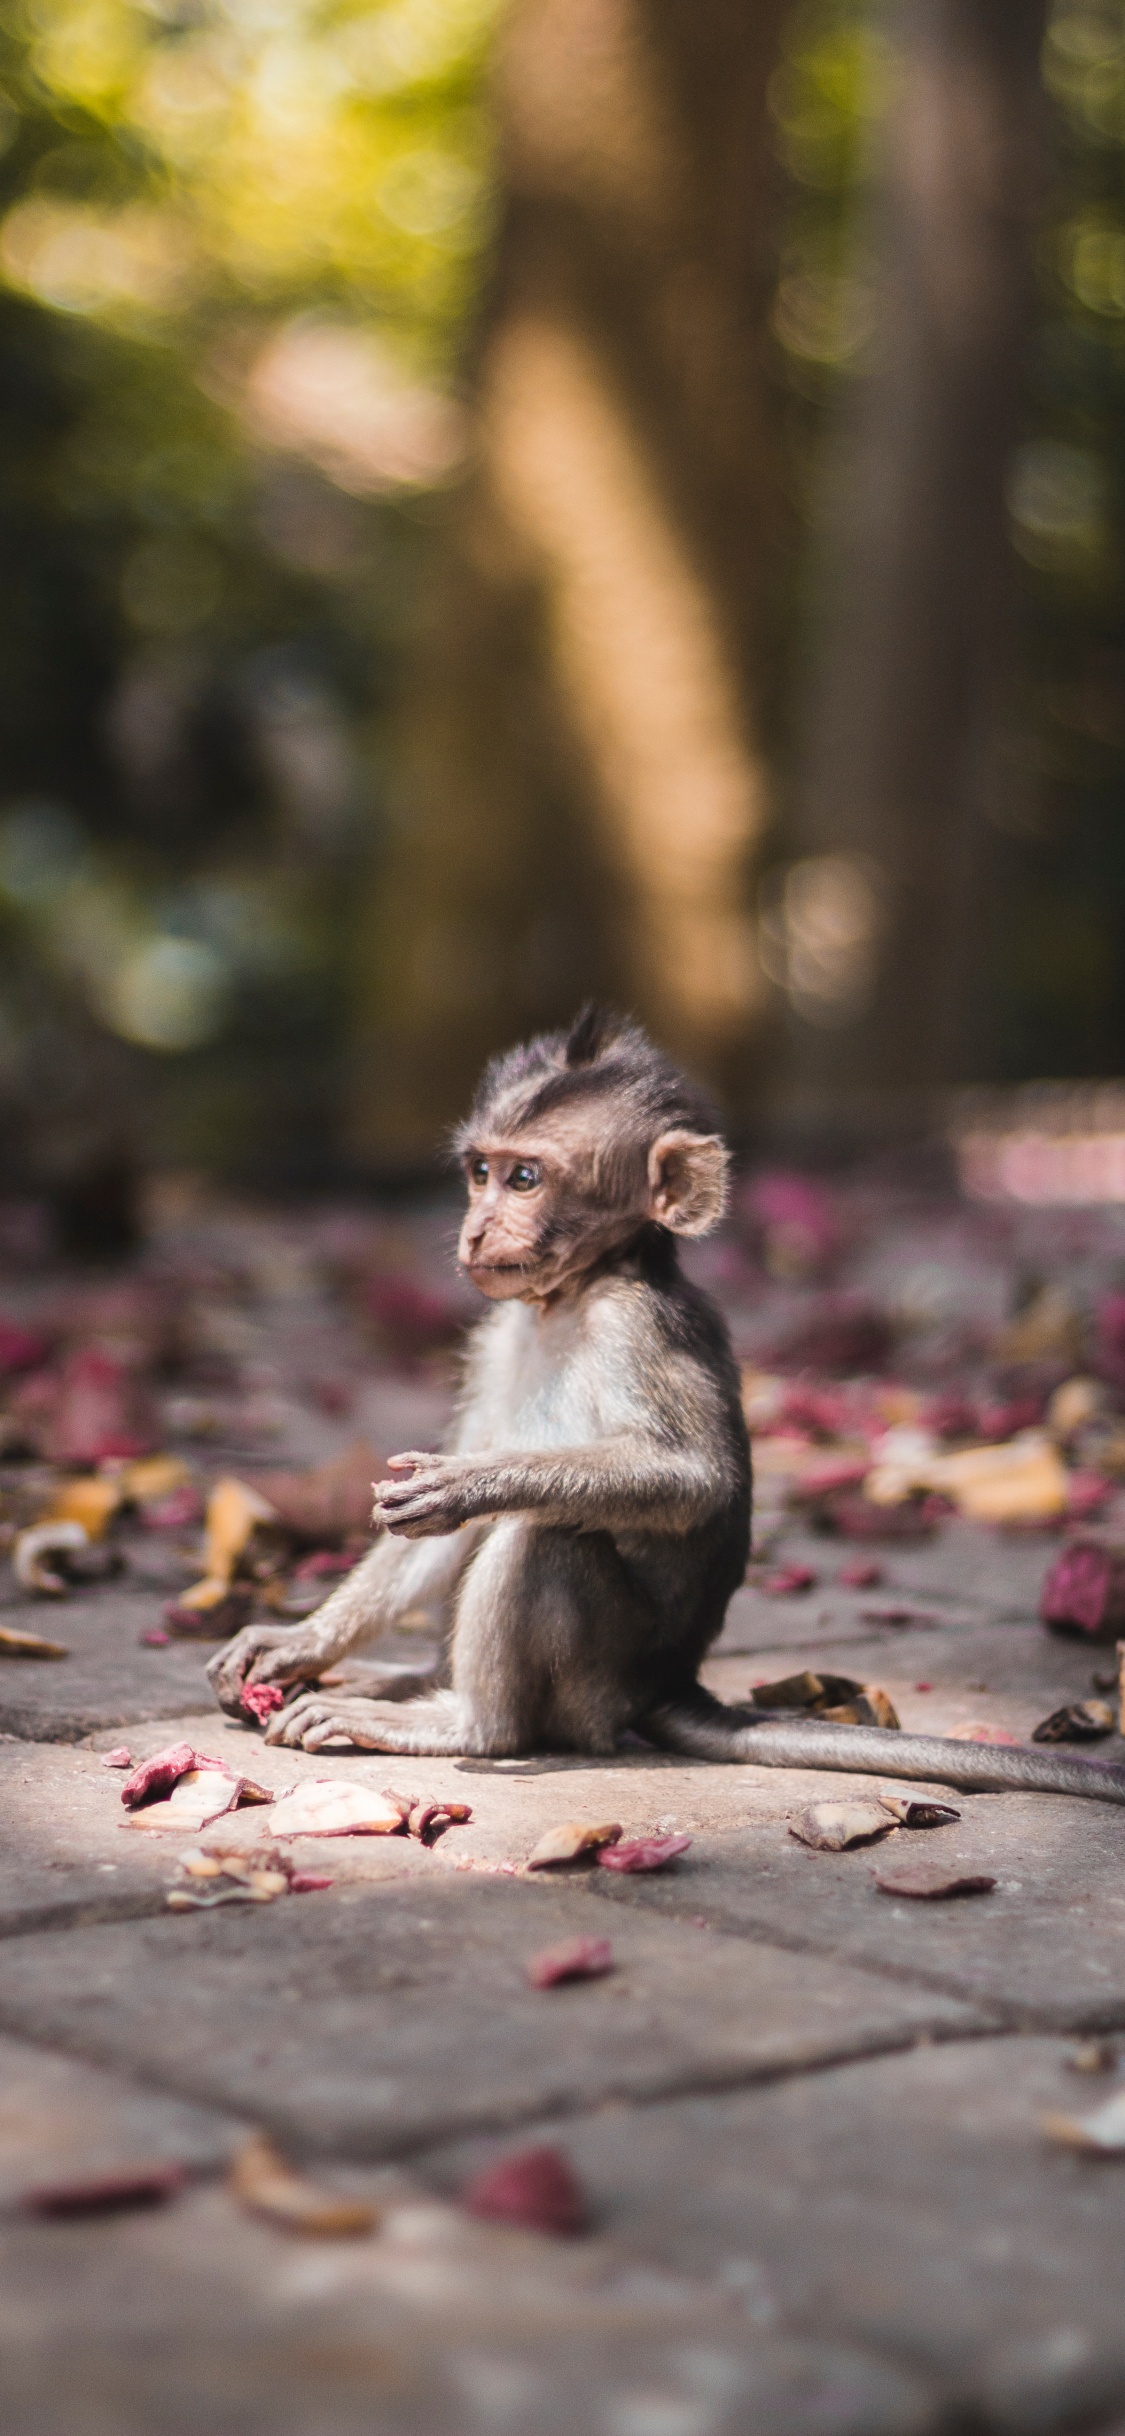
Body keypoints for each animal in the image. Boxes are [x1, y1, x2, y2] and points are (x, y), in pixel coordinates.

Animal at [208, 1009, 1125, 1810]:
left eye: (524, 1178)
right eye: (479, 1171)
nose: (474, 1231)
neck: (574, 1294)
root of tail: (668, 1681)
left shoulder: (638, 1326)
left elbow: (693, 1480)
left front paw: (469, 1485)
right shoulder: (496, 1333)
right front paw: (297, 1641)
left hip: (596, 1685)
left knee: (543, 1537)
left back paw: (464, 1724)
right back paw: (402, 1680)